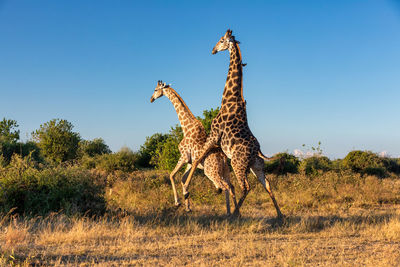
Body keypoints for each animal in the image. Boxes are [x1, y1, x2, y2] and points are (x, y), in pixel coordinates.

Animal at [150, 80, 238, 216]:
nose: (151, 99)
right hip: (225, 171)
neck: (186, 128)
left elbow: (172, 175)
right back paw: (236, 212)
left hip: (211, 172)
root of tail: (223, 158)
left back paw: (229, 213)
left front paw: (178, 202)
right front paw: (187, 207)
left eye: (155, 90)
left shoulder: (184, 157)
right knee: (232, 187)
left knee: (225, 187)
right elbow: (182, 178)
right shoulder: (190, 162)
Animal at [183, 29, 282, 220]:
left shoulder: (214, 135)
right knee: (268, 185)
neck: (229, 99)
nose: (213, 50)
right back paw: (280, 215)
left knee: (246, 187)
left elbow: (198, 158)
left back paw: (235, 215)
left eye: (222, 40)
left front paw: (185, 191)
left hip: (238, 163)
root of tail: (257, 151)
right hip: (256, 166)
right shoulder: (217, 142)